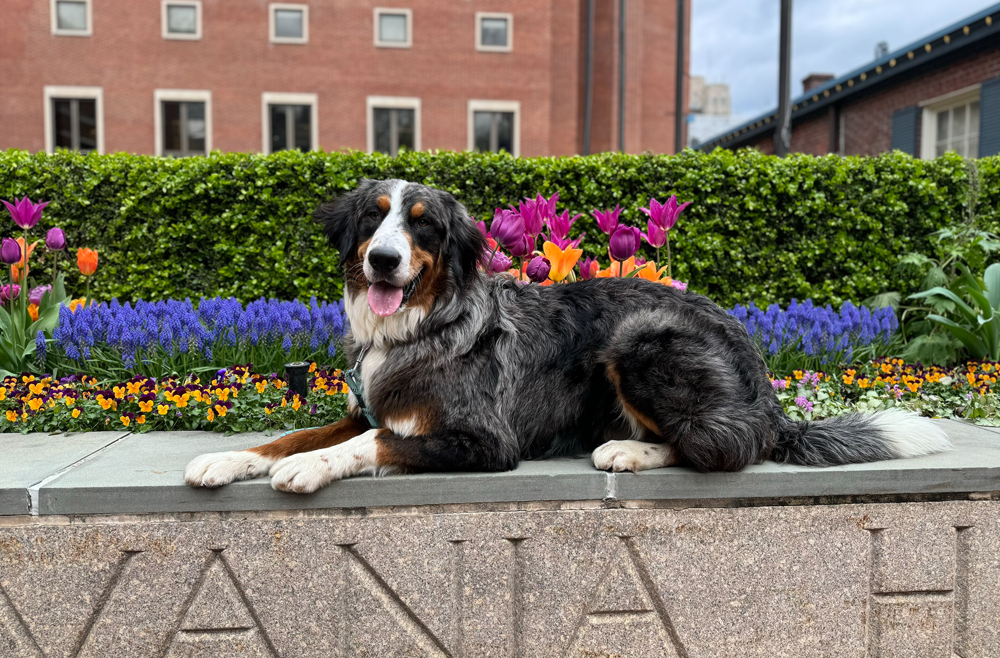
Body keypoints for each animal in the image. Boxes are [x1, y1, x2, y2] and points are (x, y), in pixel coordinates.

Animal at [184, 179, 948, 492]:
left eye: (423, 226)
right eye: (374, 219)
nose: (383, 260)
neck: (421, 326)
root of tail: (764, 387)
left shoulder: (484, 440)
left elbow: (370, 443)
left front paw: (311, 468)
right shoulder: (361, 406)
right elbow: (296, 433)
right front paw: (228, 459)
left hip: (640, 337)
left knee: (724, 446)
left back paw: (628, 451)